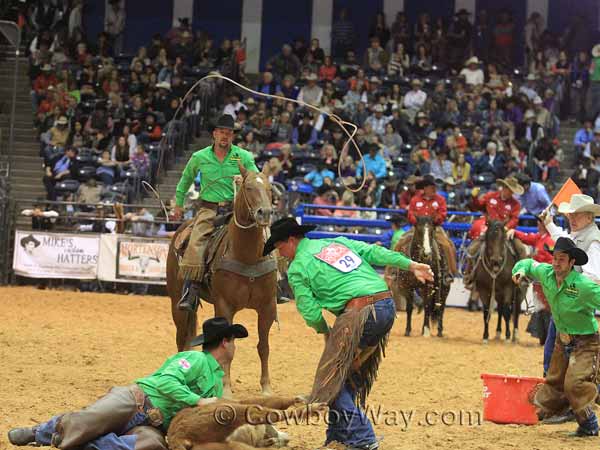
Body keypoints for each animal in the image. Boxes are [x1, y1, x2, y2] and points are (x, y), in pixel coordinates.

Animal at [166, 166, 278, 398]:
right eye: (248, 187)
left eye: (269, 188)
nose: (264, 213)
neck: (248, 256)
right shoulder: (224, 305)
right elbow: (228, 346)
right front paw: (225, 389)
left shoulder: (267, 307)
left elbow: (263, 347)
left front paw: (266, 388)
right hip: (176, 302)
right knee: (181, 338)